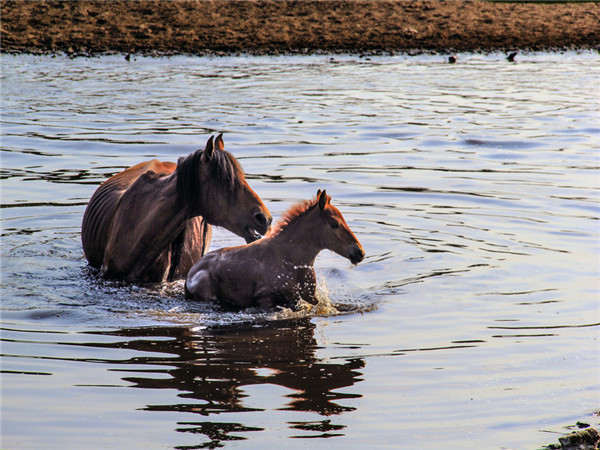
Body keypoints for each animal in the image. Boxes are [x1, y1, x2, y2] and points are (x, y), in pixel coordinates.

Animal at [186, 189, 366, 310]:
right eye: (334, 223)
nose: (360, 252)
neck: (294, 261)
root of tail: (190, 275)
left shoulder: (310, 297)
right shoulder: (265, 298)